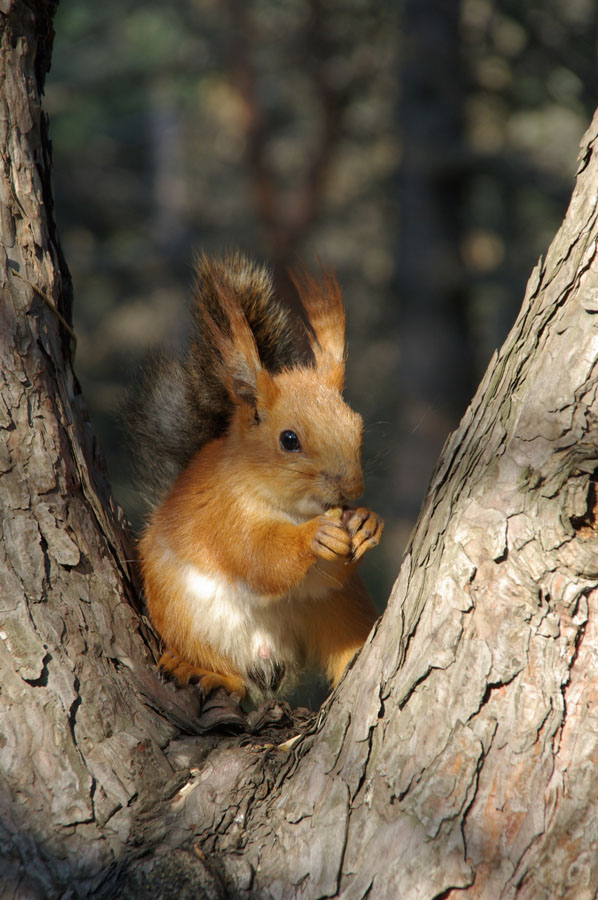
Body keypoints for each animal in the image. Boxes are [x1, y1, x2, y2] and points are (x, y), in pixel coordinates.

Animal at [129, 250, 386, 700]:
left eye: (357, 426)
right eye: (289, 440)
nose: (351, 488)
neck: (294, 509)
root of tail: (271, 655)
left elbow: (328, 575)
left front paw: (367, 522)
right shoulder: (222, 516)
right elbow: (258, 556)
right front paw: (314, 537)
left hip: (339, 611)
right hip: (185, 619)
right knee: (225, 669)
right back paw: (204, 671)